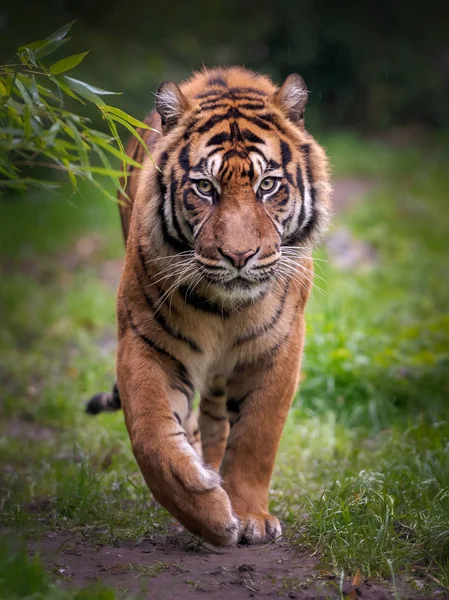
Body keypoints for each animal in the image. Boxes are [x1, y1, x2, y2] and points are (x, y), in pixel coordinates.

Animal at [86, 67, 330, 548]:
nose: (239, 256)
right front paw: (210, 514)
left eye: (267, 185)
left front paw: (250, 516)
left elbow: (256, 436)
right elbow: (151, 436)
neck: (226, 310)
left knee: (218, 420)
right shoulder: (144, 341)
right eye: (204, 187)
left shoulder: (279, 347)